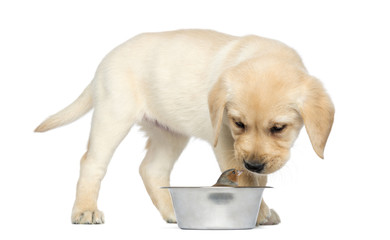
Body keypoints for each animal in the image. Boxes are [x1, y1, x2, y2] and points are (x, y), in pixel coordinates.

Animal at [35, 29, 334, 225]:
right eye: (238, 123)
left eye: (279, 128)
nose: (254, 164)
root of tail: (104, 61)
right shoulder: (225, 138)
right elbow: (247, 179)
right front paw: (257, 213)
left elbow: (259, 179)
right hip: (113, 114)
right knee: (92, 163)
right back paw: (85, 211)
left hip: (170, 132)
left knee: (151, 169)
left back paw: (173, 213)